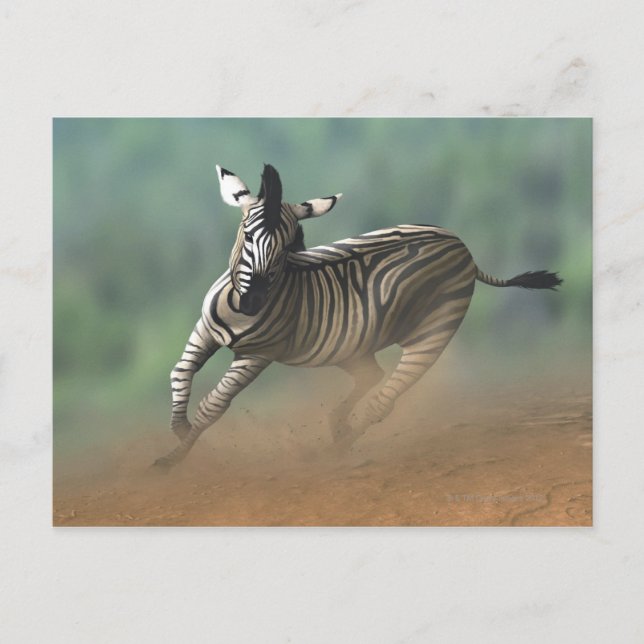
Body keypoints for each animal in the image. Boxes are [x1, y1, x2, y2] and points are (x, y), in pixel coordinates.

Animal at [154, 163, 561, 470]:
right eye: (247, 234)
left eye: (288, 246)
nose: (254, 301)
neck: (238, 308)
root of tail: (463, 249)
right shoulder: (204, 331)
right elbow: (180, 372)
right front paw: (179, 428)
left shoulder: (257, 356)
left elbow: (213, 405)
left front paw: (173, 458)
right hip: (350, 345)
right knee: (372, 375)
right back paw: (337, 428)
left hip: (433, 333)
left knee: (384, 397)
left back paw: (334, 449)